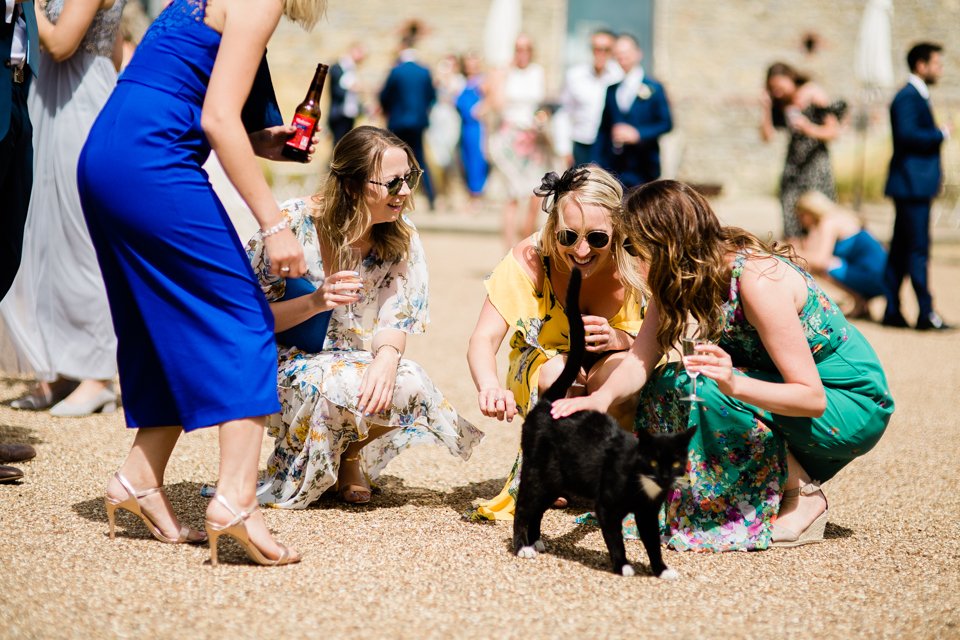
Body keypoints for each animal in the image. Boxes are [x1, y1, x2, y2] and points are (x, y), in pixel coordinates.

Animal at [510, 268, 696, 576]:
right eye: (653, 461)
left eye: (676, 463)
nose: (665, 477)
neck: (642, 481)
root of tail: (548, 404)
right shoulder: (607, 508)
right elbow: (615, 540)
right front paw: (623, 566)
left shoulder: (647, 513)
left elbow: (653, 542)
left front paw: (661, 569)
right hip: (540, 473)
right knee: (524, 507)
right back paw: (522, 547)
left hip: (558, 480)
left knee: (537, 508)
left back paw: (535, 541)